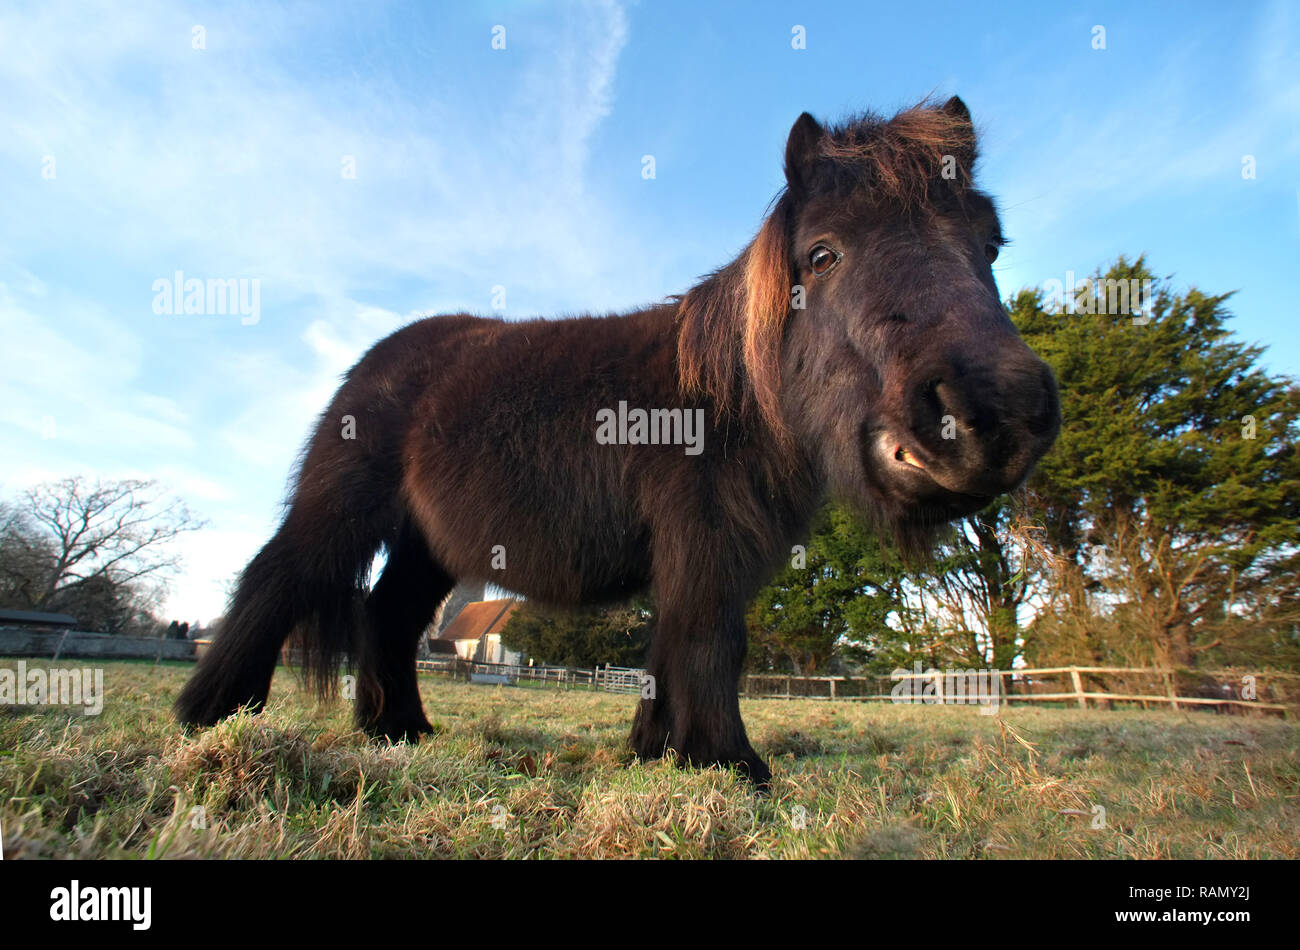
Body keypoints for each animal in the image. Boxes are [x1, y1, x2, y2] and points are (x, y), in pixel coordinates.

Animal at [178, 96, 1060, 784]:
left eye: (991, 245)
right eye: (822, 254)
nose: (988, 418)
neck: (729, 395)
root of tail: (380, 358)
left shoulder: (710, 550)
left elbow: (675, 648)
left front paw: (661, 752)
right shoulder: (705, 544)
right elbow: (710, 641)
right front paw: (731, 763)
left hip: (428, 547)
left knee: (387, 618)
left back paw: (399, 732)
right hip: (342, 510)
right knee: (276, 580)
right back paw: (214, 716)